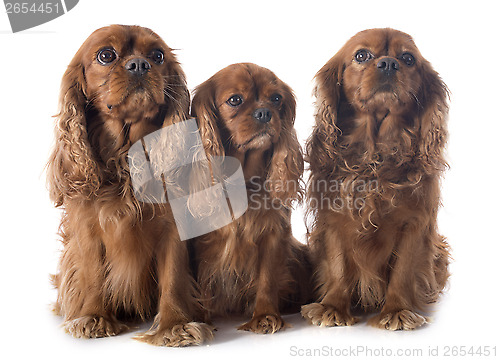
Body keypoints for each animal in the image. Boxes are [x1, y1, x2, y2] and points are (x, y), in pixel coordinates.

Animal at [48, 25, 215, 346]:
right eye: (106, 55)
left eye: (158, 55)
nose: (139, 64)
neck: (127, 157)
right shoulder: (87, 230)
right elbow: (93, 274)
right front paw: (94, 317)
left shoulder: (173, 228)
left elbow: (173, 277)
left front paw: (174, 325)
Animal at [189, 62, 310, 334]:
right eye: (235, 100)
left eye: (276, 99)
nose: (264, 113)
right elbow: (201, 283)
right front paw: (201, 320)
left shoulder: (274, 233)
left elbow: (267, 278)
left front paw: (265, 316)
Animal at [300, 29, 454, 330]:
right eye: (362, 55)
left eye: (408, 58)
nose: (388, 64)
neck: (375, 157)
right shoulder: (333, 220)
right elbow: (337, 265)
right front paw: (332, 307)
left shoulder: (414, 223)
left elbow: (404, 270)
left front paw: (397, 311)